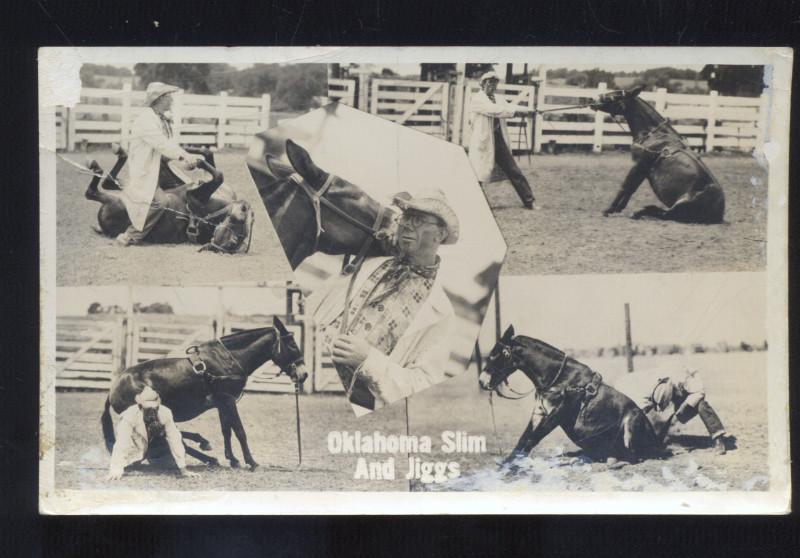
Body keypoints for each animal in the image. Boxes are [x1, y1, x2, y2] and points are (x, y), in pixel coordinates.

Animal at [85, 147, 253, 256]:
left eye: (237, 224)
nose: (245, 207)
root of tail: (102, 224)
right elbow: (209, 156)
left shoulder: (194, 195)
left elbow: (219, 174)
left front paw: (196, 161)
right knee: (108, 182)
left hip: (124, 199)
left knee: (96, 189)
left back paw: (102, 167)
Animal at [101, 318, 308, 470]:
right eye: (292, 345)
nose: (303, 374)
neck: (227, 360)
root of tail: (114, 389)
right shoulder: (227, 400)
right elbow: (239, 431)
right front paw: (251, 462)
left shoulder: (222, 403)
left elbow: (226, 430)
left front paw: (233, 459)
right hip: (149, 412)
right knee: (165, 435)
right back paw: (204, 450)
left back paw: (205, 450)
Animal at [478, 326, 664, 470]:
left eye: (495, 355)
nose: (481, 381)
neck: (561, 379)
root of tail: (657, 443)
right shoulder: (539, 412)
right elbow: (523, 439)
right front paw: (508, 462)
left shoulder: (558, 413)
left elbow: (532, 438)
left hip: (631, 421)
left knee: (632, 457)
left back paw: (610, 461)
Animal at [592, 86, 728, 225]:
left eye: (615, 96)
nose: (593, 100)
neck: (653, 134)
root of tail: (719, 215)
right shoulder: (643, 170)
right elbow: (631, 189)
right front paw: (618, 208)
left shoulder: (638, 165)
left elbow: (625, 187)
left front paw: (609, 209)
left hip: (681, 205)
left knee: (665, 214)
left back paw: (641, 212)